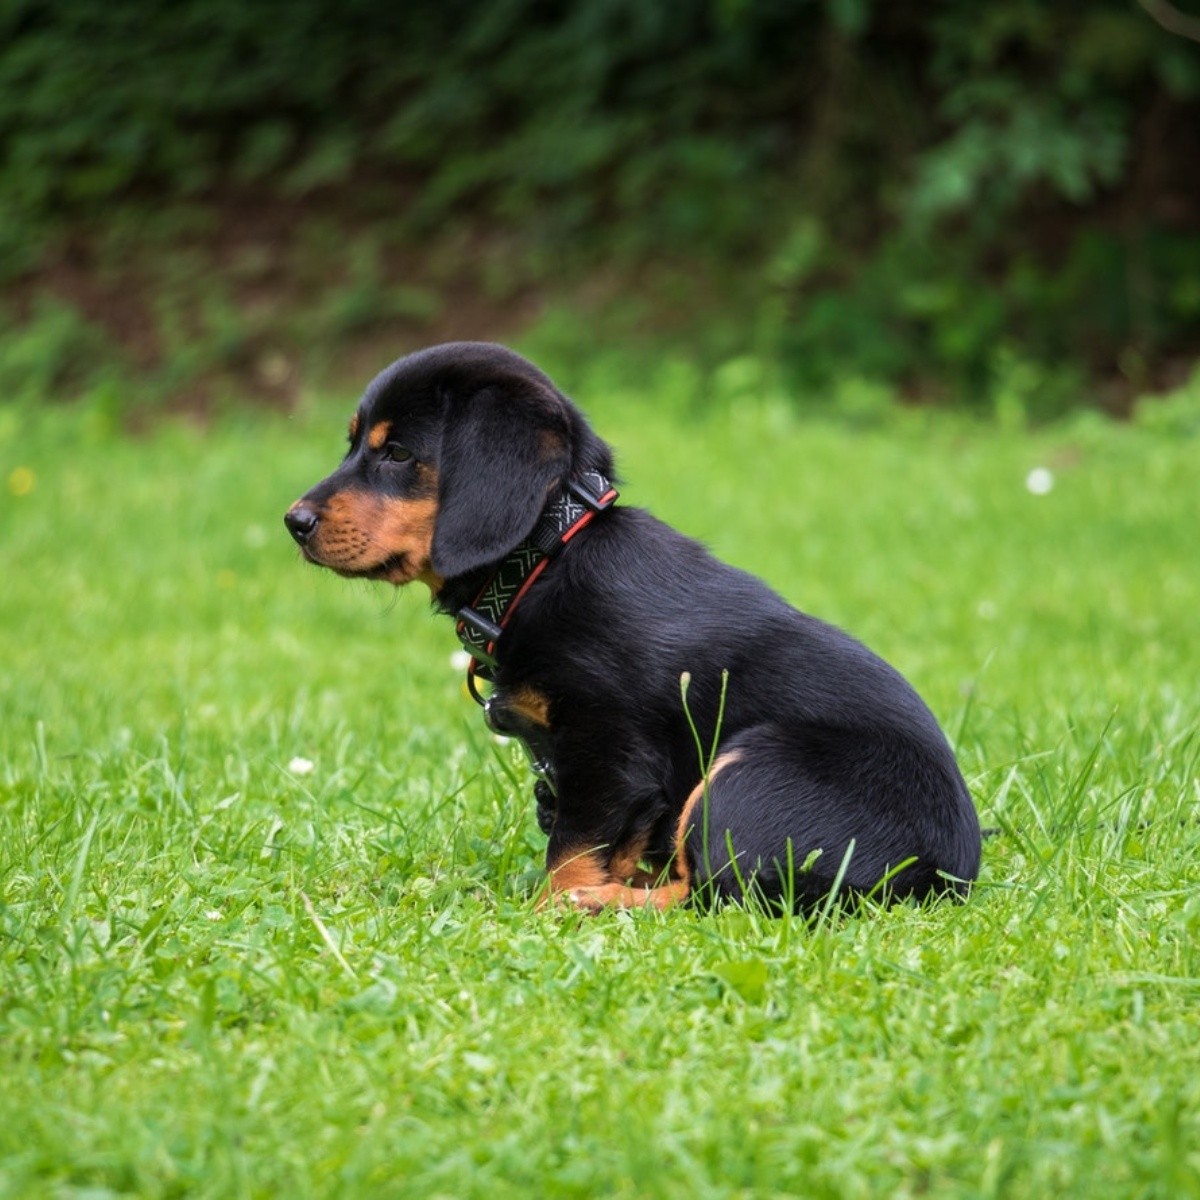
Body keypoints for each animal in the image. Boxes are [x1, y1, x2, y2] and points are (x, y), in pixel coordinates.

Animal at [285, 343, 979, 912]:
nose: (293, 521)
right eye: (353, 444)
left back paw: (598, 904)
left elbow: (572, 849)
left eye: (398, 453)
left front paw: (552, 907)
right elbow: (609, 841)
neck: (545, 556)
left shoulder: (607, 749)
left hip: (748, 771)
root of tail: (943, 876)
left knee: (717, 893)